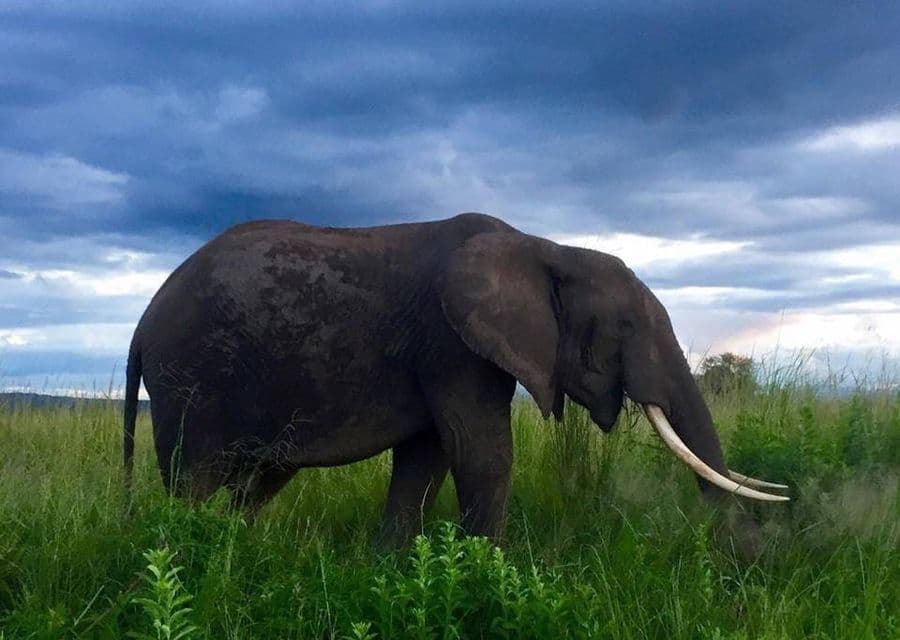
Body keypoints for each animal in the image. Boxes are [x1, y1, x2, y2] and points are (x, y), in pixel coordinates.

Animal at [123, 212, 787, 544]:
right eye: (623, 326)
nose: (747, 559)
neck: (545, 247)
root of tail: (141, 324)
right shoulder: (453, 345)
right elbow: (481, 453)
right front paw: (487, 570)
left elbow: (428, 459)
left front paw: (392, 567)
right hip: (191, 376)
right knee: (195, 478)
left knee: (256, 482)